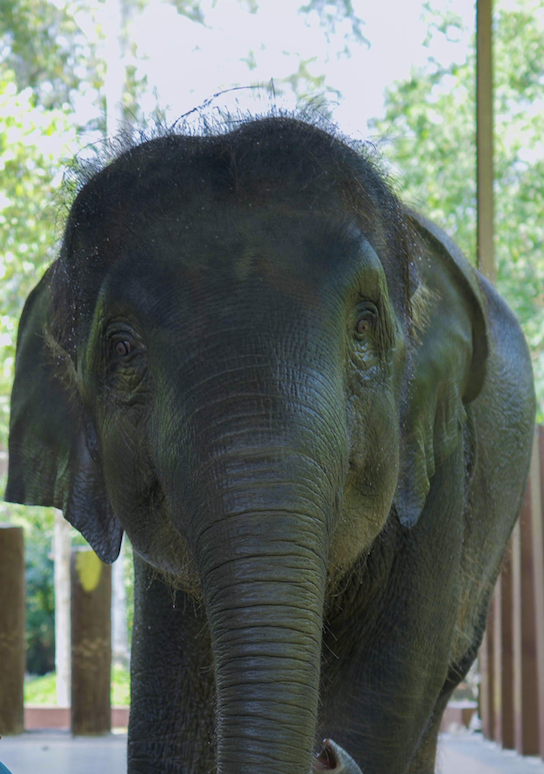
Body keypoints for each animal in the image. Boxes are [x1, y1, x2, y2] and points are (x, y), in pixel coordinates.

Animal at [6, 114, 535, 774]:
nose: (325, 752)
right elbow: (162, 733)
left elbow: (382, 705)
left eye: (364, 325)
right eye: (122, 349)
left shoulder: (441, 484)